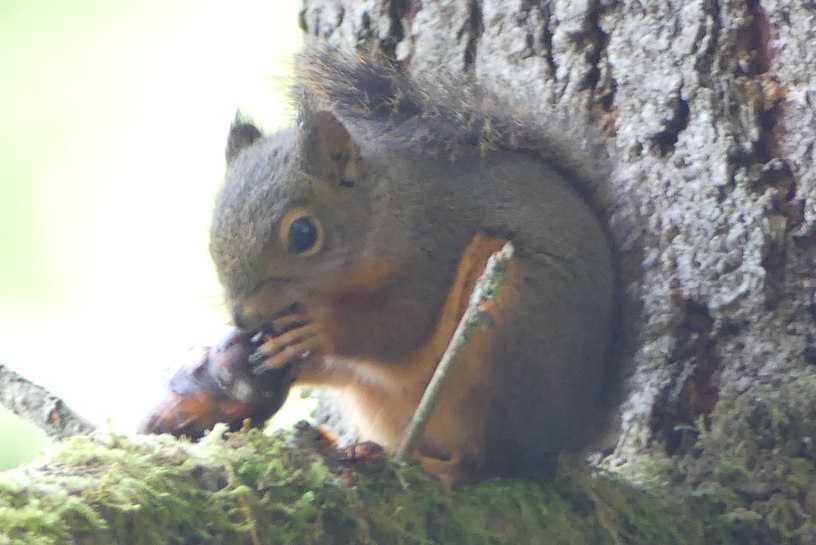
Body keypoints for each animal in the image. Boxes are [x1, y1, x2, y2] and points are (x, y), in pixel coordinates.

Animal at [203, 47, 622, 486]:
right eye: (213, 227)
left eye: (303, 233)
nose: (243, 318)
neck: (389, 209)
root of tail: (566, 434)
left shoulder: (433, 251)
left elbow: (402, 328)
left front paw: (320, 331)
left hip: (511, 331)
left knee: (492, 462)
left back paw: (435, 467)